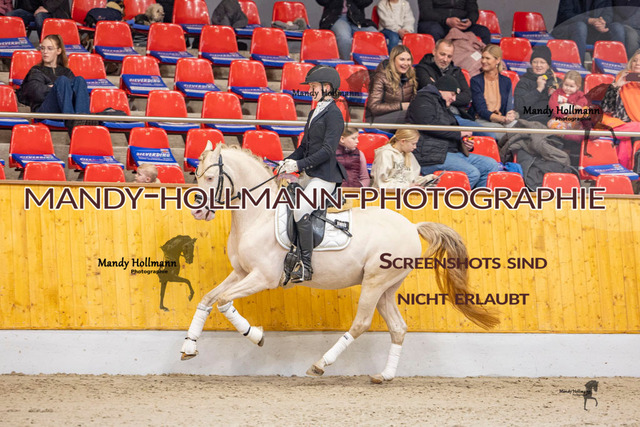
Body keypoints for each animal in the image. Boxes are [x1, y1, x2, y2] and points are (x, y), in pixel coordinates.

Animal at [181, 143, 499, 382]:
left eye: (209, 178)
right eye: (195, 174)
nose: (197, 213)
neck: (259, 215)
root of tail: (412, 227)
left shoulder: (262, 277)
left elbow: (224, 301)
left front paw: (255, 334)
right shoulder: (241, 272)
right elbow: (208, 299)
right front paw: (188, 347)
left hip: (374, 282)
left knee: (361, 323)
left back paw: (321, 364)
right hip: (387, 288)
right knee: (398, 328)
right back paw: (384, 376)